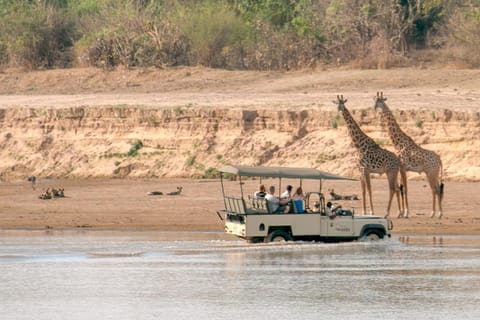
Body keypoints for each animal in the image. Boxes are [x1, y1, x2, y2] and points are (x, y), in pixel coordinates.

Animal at [374, 91, 444, 219]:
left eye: (379, 101)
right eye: (375, 100)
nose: (375, 107)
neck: (398, 143)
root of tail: (440, 159)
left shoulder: (402, 167)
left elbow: (405, 189)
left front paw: (406, 213)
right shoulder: (401, 168)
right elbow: (401, 189)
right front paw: (400, 212)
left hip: (431, 172)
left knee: (435, 189)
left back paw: (437, 213)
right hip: (435, 173)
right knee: (435, 189)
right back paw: (434, 213)